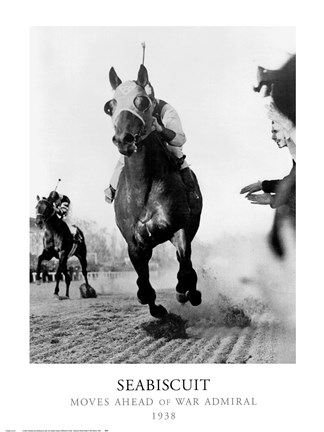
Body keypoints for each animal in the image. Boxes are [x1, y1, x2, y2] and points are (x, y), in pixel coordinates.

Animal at [105, 65, 202, 318]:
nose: (123, 139)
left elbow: (185, 269)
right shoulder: (134, 243)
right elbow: (144, 284)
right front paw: (155, 307)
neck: (144, 188)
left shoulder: (179, 227)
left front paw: (185, 292)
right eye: (111, 106)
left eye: (142, 102)